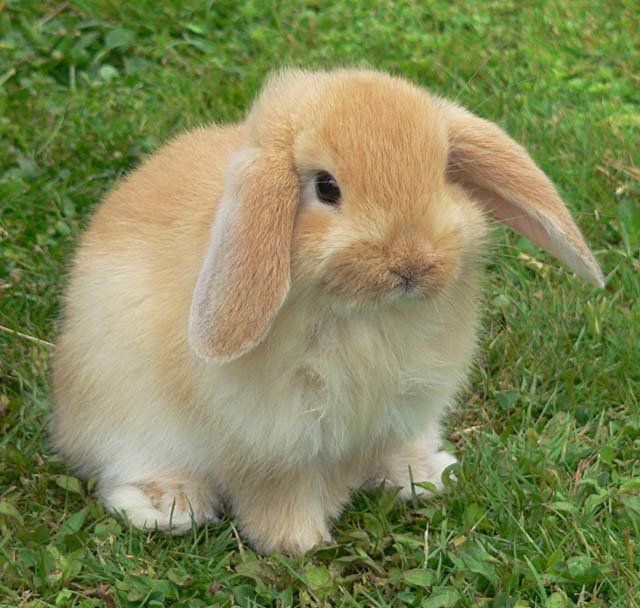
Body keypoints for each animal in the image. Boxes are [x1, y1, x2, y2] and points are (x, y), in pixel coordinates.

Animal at [51, 68, 603, 555]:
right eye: (326, 187)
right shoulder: (275, 445)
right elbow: (280, 495)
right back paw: (166, 506)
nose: (412, 264)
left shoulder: (395, 411)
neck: (366, 315)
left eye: (444, 172)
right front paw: (299, 544)